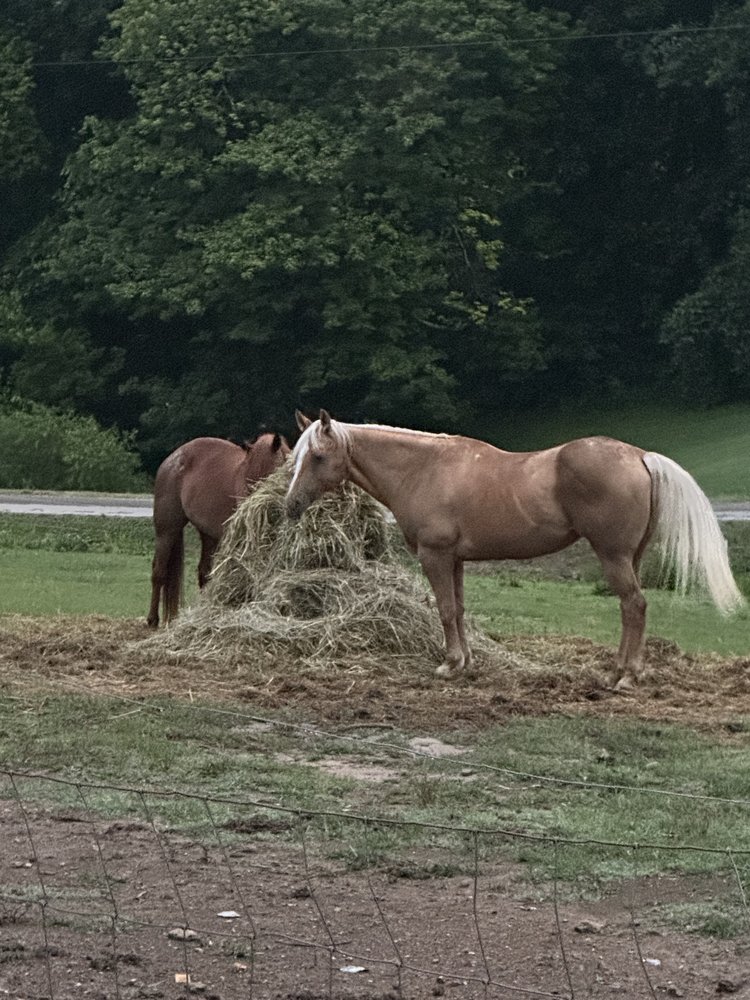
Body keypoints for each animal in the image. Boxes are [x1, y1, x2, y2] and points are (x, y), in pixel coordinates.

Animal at [147, 432, 290, 628]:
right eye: (249, 476)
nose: (248, 507)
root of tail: (172, 459)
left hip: (207, 535)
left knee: (203, 573)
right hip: (167, 530)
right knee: (159, 571)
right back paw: (153, 619)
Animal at [285, 410, 743, 689]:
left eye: (319, 456)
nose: (291, 505)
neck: (424, 470)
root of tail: (640, 456)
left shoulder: (435, 556)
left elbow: (445, 611)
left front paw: (449, 664)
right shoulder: (455, 560)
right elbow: (459, 610)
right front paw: (466, 662)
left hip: (613, 557)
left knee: (634, 606)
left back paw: (626, 677)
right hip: (632, 556)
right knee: (632, 610)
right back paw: (617, 670)